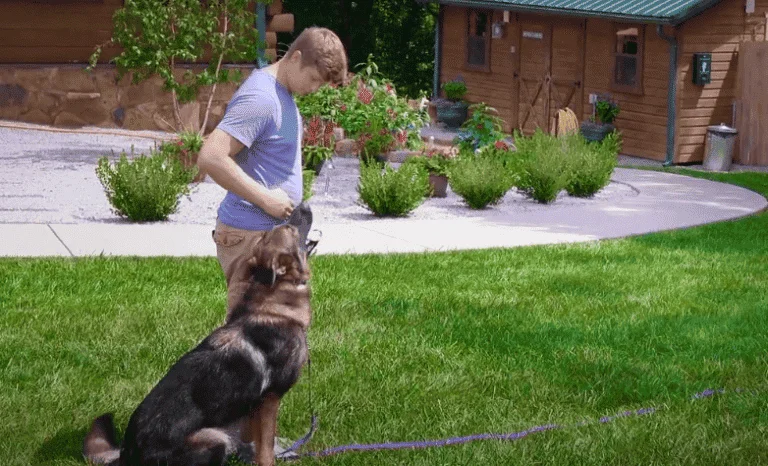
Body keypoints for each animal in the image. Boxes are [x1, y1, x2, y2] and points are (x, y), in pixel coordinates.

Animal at [87, 219, 318, 466]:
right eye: (291, 229)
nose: (302, 210)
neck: (274, 307)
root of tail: (127, 456)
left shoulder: (253, 407)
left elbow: (251, 438)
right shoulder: (270, 399)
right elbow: (266, 448)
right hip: (214, 437)